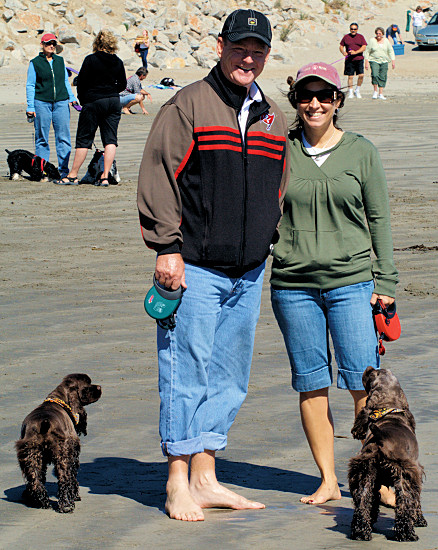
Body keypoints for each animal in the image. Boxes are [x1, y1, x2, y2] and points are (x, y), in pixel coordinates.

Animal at [15, 374, 102, 516]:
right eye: (88, 385)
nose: (99, 387)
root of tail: (44, 423)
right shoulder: (72, 451)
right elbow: (72, 476)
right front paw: (75, 496)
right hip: (62, 456)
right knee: (64, 479)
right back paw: (66, 506)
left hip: (31, 456)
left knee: (35, 481)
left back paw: (41, 502)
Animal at [348, 366, 426, 544]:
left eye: (373, 373)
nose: (369, 367)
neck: (389, 410)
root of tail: (381, 438)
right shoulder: (416, 472)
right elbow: (416, 502)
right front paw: (420, 520)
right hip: (403, 477)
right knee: (404, 504)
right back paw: (407, 535)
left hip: (364, 474)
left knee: (363, 501)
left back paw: (361, 532)